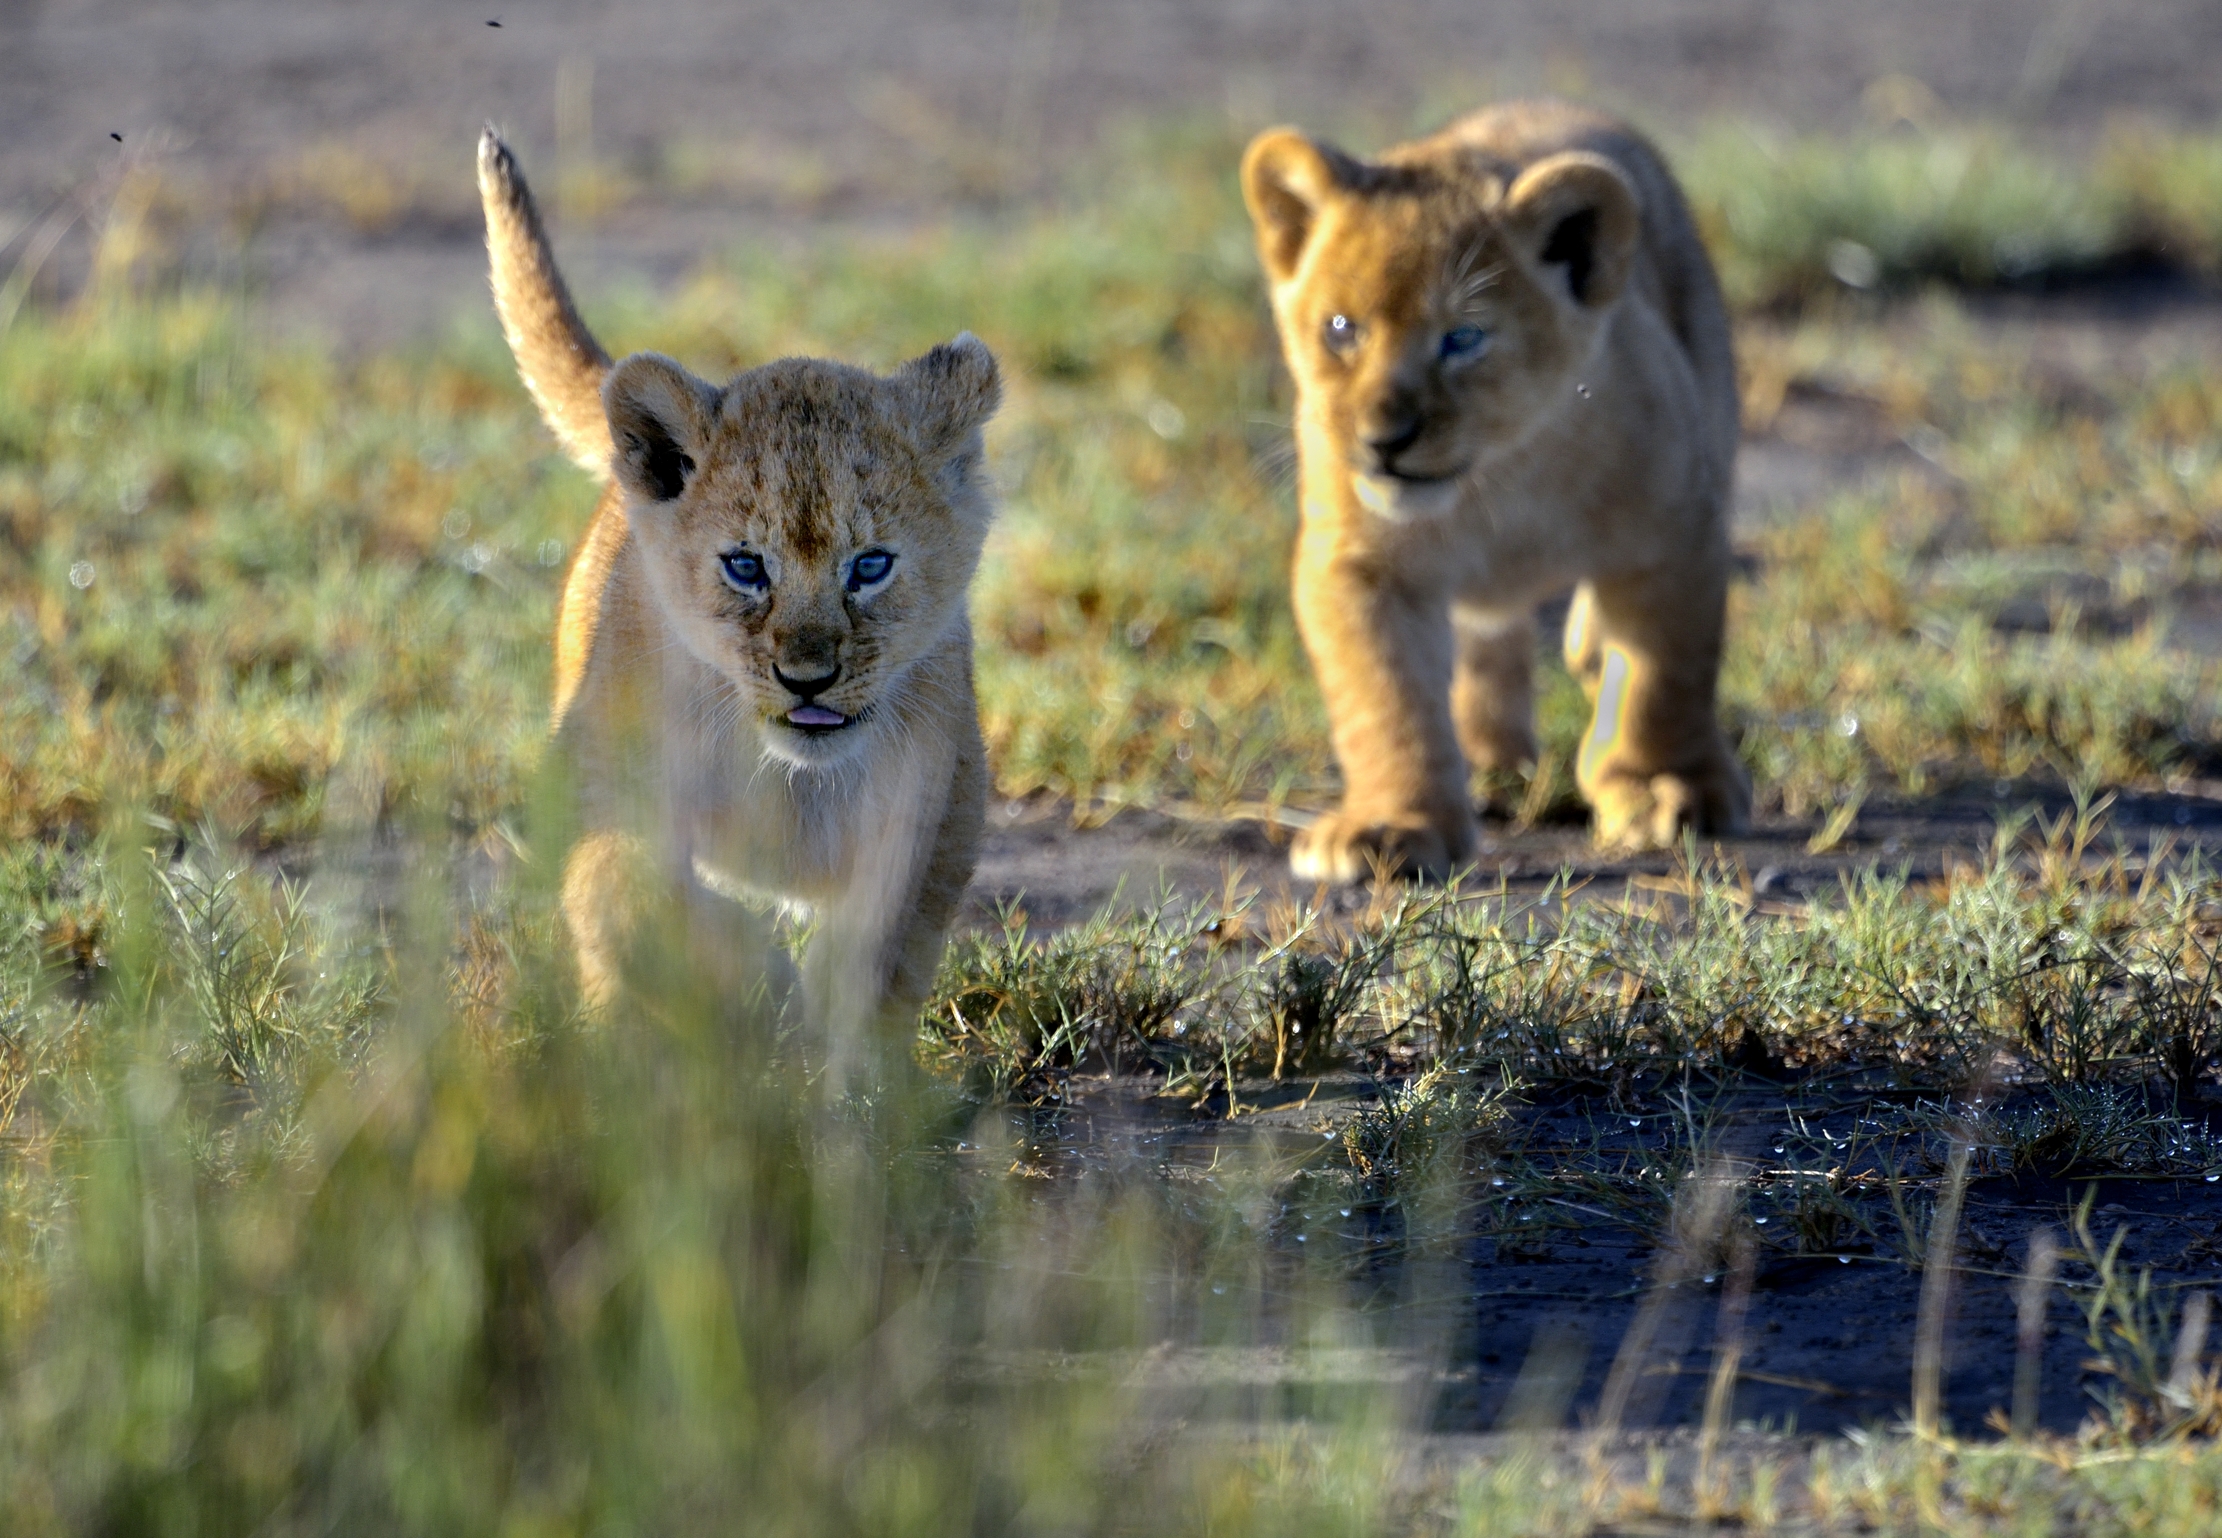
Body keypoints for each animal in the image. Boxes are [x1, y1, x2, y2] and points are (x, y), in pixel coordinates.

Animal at [476, 128, 996, 1028]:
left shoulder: (931, 813)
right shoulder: (593, 786)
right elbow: (635, 892)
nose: (807, 679)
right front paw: (760, 983)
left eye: (871, 566)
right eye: (746, 567)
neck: (794, 782)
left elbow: (875, 963)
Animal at [1240, 98, 1750, 879]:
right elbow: (1384, 699)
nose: (1384, 440)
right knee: (1487, 649)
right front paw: (1393, 824)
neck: (1494, 484)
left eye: (1463, 338)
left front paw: (1663, 786)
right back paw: (1489, 765)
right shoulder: (1358, 565)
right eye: (1342, 328)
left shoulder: (1674, 531)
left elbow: (1665, 674)